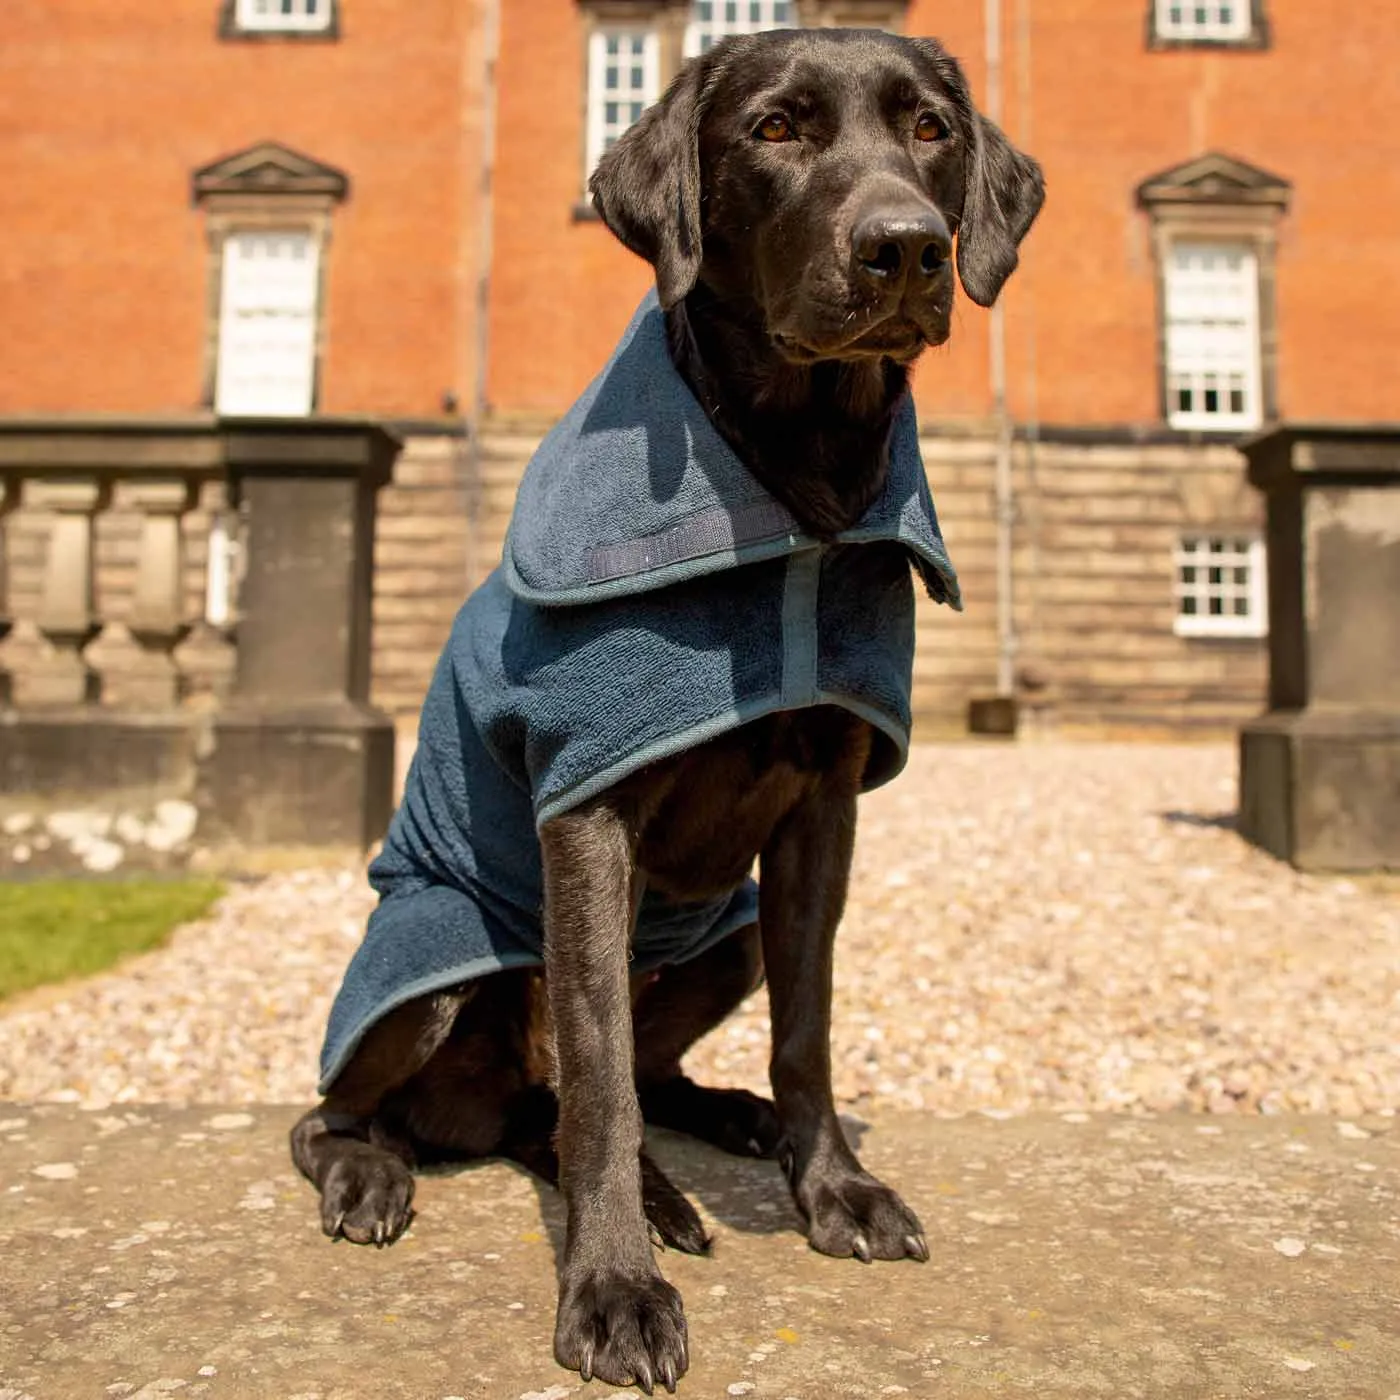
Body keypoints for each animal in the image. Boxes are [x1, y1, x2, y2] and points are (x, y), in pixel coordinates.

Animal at [292, 27, 1041, 1394]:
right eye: (774, 129)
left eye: (930, 128)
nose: (906, 246)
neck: (797, 483)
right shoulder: (588, 811)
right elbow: (596, 1077)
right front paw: (612, 1286)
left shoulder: (820, 817)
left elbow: (806, 1026)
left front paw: (833, 1185)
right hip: (428, 975)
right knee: (366, 1108)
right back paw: (381, 1170)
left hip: (723, 935)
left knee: (612, 1082)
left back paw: (725, 1129)